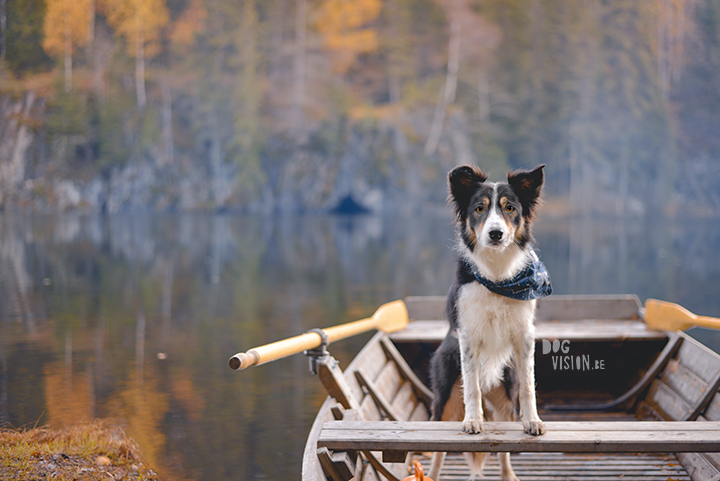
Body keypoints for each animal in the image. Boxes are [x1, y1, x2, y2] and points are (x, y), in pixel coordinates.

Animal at [428, 165, 552, 480]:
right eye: (479, 209)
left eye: (509, 208)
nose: (496, 234)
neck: (497, 277)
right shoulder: (468, 337)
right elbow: (471, 386)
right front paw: (473, 421)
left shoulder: (524, 336)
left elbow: (529, 387)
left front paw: (533, 421)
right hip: (444, 397)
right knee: (437, 447)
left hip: (505, 395)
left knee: (504, 448)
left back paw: (509, 475)